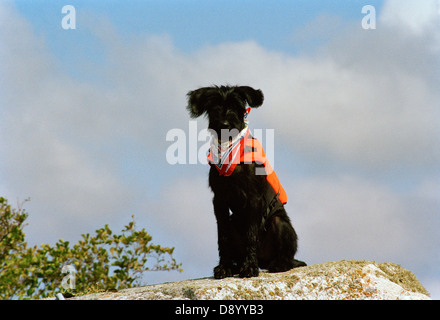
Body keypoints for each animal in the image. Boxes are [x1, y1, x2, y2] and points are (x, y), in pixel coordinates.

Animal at [186, 85, 306, 278]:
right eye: (214, 106)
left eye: (236, 105)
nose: (224, 124)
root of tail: (264, 261)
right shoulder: (219, 200)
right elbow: (223, 237)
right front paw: (224, 266)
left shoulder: (254, 199)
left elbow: (251, 235)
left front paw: (249, 267)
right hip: (234, 222)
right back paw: (236, 265)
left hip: (280, 223)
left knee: (287, 257)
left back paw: (278, 264)